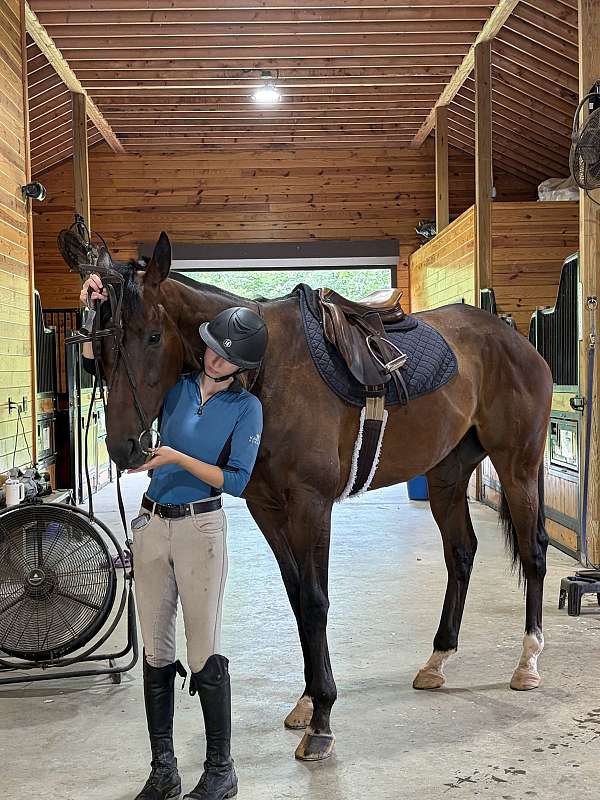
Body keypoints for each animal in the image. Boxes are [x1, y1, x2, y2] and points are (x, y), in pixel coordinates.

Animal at [72, 231, 553, 762]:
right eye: (101, 346)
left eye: (154, 337)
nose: (124, 447)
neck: (265, 372)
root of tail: (509, 336)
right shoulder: (267, 508)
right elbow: (298, 596)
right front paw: (306, 700)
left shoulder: (311, 505)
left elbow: (317, 600)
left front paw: (322, 719)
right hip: (447, 476)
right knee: (461, 553)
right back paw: (437, 659)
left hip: (518, 465)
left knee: (533, 551)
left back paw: (528, 662)